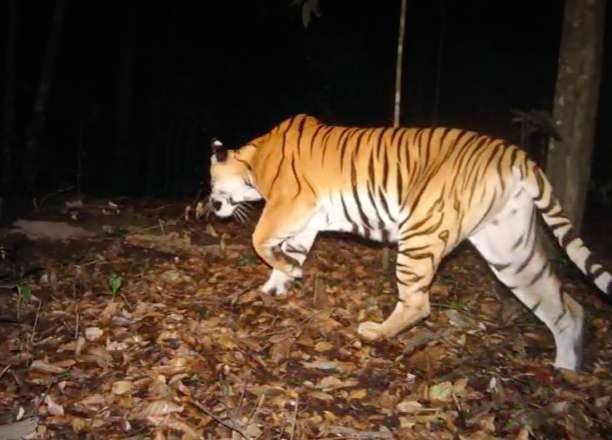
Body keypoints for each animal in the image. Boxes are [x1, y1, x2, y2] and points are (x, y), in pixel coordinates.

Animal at [208, 113, 608, 372]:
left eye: (212, 183)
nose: (212, 204)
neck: (255, 158)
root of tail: (517, 155)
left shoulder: (290, 204)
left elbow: (260, 239)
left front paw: (284, 272)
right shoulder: (306, 219)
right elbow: (289, 249)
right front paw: (278, 283)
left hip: (421, 232)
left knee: (418, 303)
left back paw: (376, 332)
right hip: (510, 251)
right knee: (565, 307)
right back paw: (564, 371)